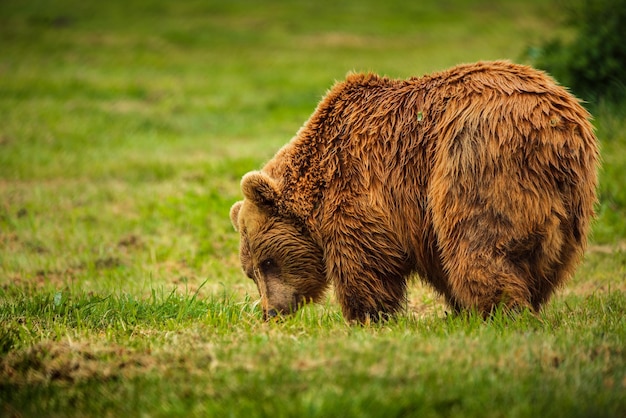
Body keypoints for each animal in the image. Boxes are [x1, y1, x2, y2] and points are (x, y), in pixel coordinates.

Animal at [227, 60, 596, 322]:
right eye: (250, 271)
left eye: (268, 262)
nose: (269, 312)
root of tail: (555, 129)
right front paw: (454, 305)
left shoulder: (360, 184)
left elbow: (365, 260)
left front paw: (366, 315)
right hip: (572, 199)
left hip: (476, 160)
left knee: (478, 239)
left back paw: (499, 310)